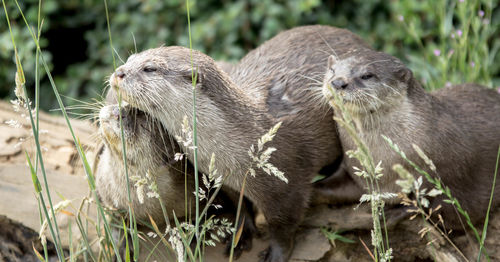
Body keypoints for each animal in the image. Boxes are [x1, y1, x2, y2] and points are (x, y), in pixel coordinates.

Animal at [107, 25, 370, 262]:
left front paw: (276, 254)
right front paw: (240, 237)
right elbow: (240, 208)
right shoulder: (224, 180)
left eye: (149, 68)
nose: (118, 72)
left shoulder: (286, 186)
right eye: (129, 59)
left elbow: (283, 225)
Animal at [322, 49, 500, 229]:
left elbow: (435, 205)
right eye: (332, 70)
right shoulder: (357, 171)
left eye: (367, 75)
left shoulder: (450, 177)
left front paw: (394, 213)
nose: (337, 82)